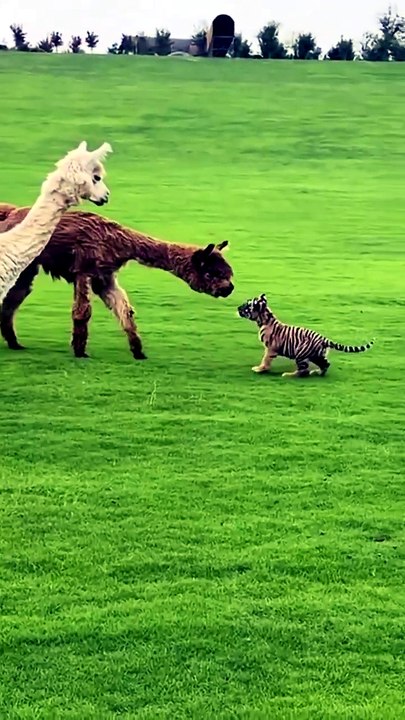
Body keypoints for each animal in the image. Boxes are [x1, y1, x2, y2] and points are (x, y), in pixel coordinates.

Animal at [237, 293, 374, 378]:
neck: (264, 319)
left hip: (301, 354)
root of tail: (323, 339)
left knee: (303, 371)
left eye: (247, 305)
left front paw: (260, 369)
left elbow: (265, 359)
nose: (238, 308)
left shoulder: (270, 348)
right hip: (317, 355)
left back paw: (288, 375)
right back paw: (318, 372)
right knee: (325, 364)